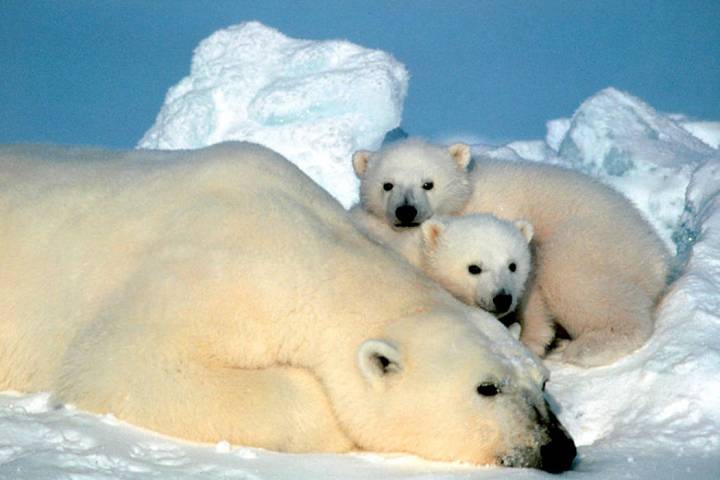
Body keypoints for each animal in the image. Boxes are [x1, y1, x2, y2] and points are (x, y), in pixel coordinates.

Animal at [352, 139, 672, 368]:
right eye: (387, 184)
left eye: (428, 184)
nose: (406, 211)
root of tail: (656, 254)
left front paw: (530, 341)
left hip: (592, 240)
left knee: (576, 280)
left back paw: (589, 347)